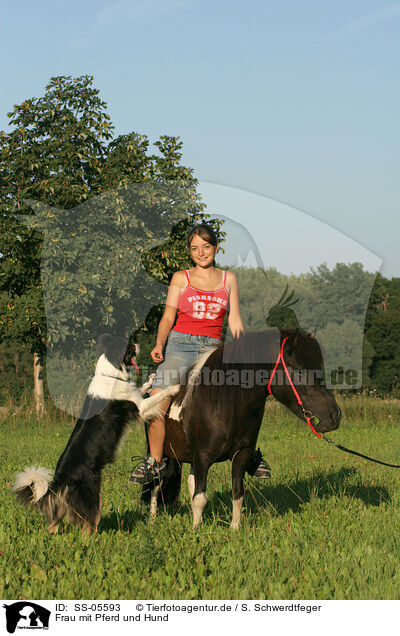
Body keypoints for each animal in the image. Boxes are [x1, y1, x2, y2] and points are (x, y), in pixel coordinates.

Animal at [12, 336, 178, 536]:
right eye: (130, 346)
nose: (139, 345)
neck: (110, 374)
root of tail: (59, 478)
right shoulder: (140, 408)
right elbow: (157, 396)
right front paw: (174, 388)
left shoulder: (136, 398)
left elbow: (142, 387)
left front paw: (152, 378)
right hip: (91, 494)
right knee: (89, 522)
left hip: (64, 503)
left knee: (54, 522)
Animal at [144, 328, 340, 528]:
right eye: (299, 371)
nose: (335, 415)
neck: (223, 403)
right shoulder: (202, 457)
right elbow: (200, 497)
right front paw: (196, 529)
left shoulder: (241, 455)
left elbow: (237, 494)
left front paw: (234, 528)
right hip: (161, 453)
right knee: (156, 483)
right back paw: (151, 520)